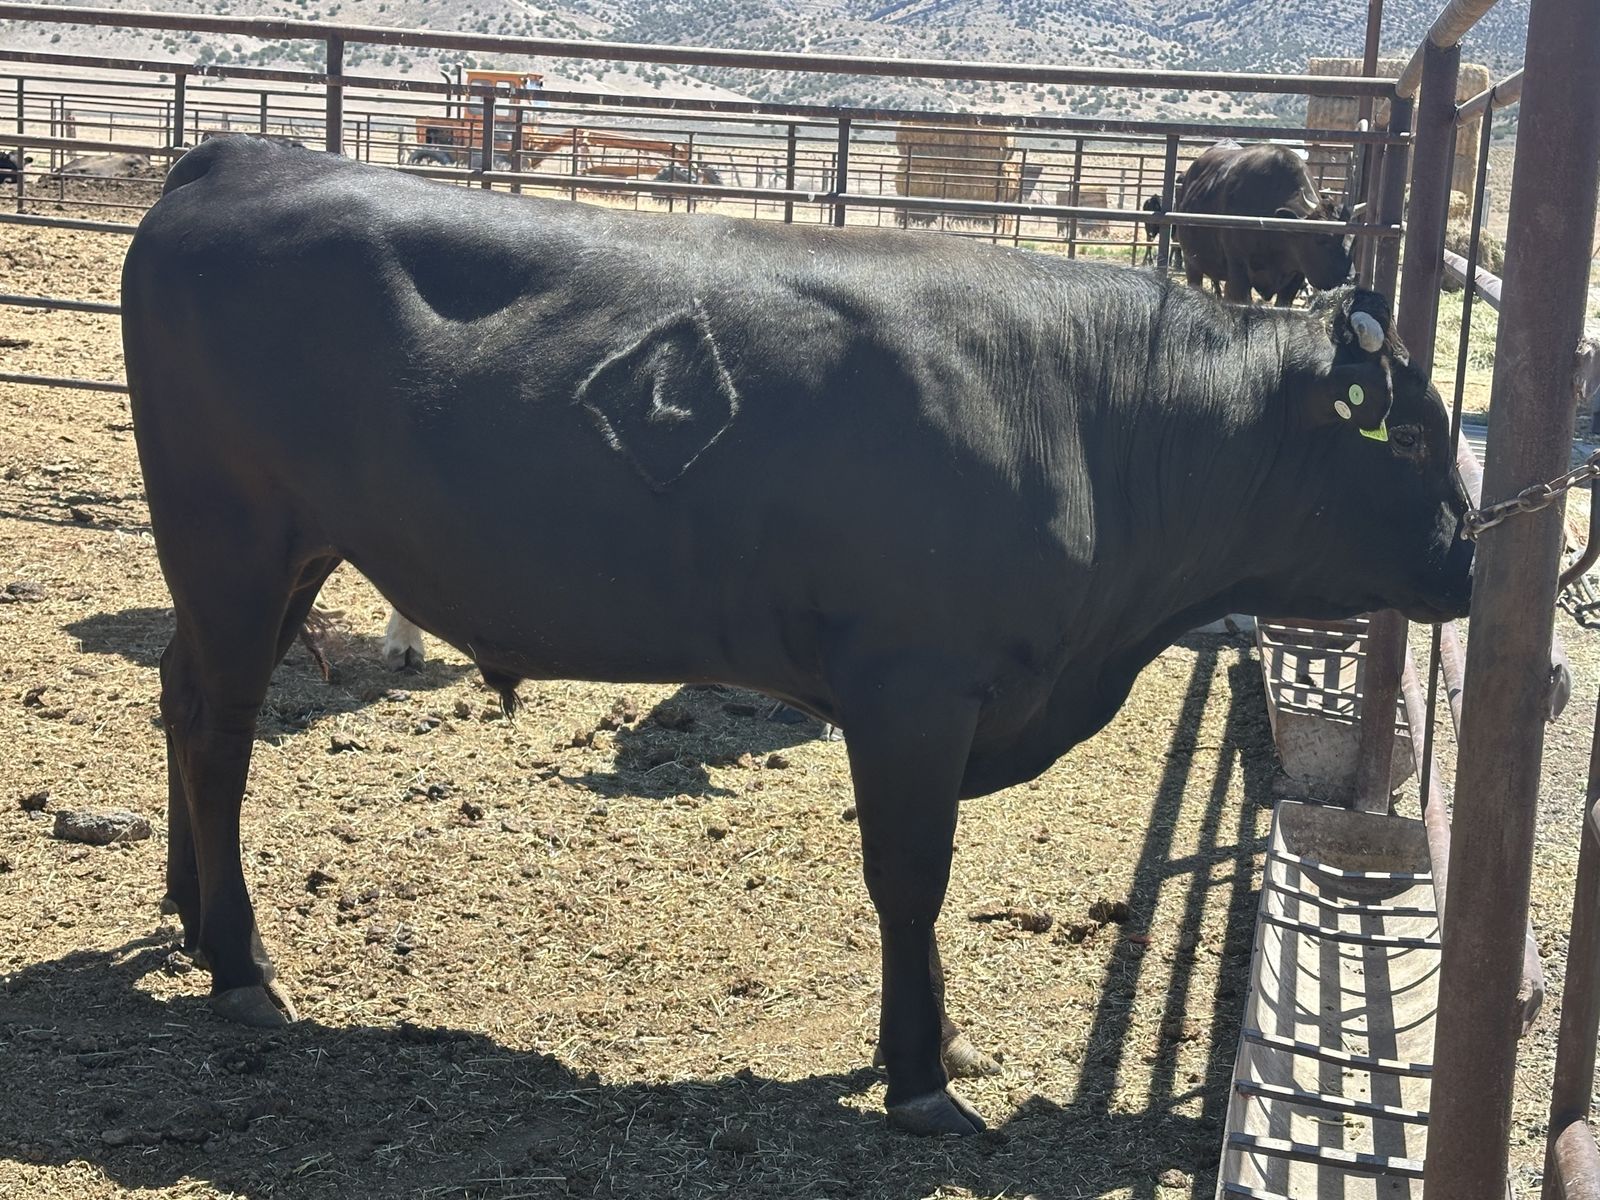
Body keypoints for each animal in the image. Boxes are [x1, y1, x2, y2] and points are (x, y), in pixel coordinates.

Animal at [1174, 141, 1355, 306]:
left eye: (1352, 240)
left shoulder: (1295, 279)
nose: (1349, 278)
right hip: (1191, 262)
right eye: (1321, 239)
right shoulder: (1238, 276)